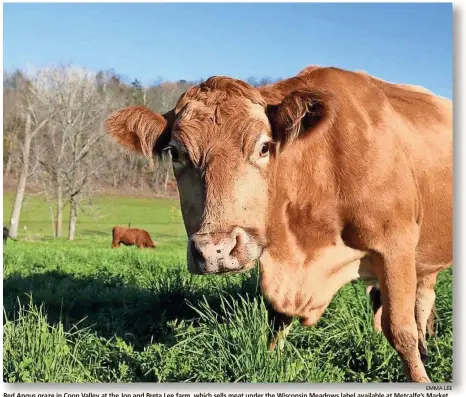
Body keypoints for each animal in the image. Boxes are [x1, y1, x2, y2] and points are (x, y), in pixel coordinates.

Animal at [104, 66, 452, 382]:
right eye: (176, 153)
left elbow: (400, 329)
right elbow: (278, 320)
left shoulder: (395, 245)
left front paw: (421, 378)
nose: (216, 250)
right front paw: (271, 361)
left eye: (264, 146)